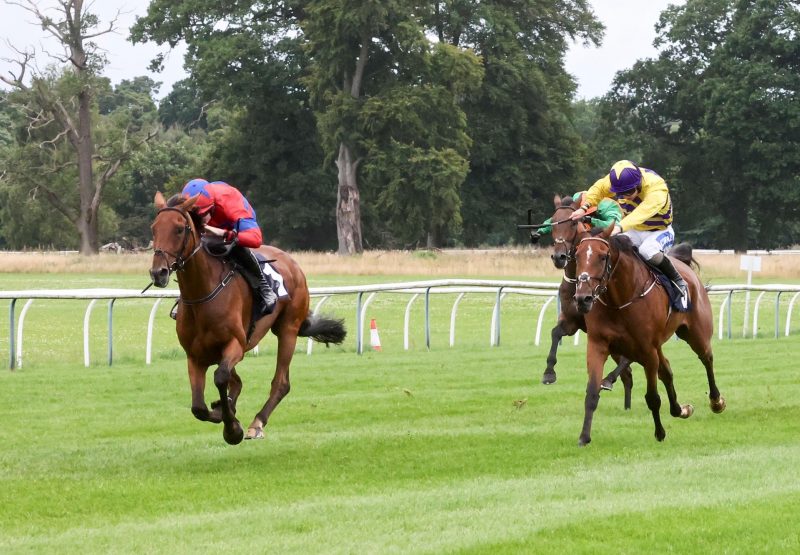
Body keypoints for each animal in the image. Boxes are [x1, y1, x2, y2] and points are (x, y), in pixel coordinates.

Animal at [150, 193, 346, 446]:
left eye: (179, 229)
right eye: (154, 228)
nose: (158, 272)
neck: (203, 295)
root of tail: (291, 262)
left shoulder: (235, 345)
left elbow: (220, 378)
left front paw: (232, 428)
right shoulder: (195, 356)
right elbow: (199, 407)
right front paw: (222, 411)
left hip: (288, 330)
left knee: (281, 382)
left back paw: (257, 423)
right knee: (237, 382)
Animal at [540, 195, 636, 408]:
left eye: (573, 223)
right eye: (553, 221)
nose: (559, 257)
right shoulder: (571, 320)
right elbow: (555, 333)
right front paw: (549, 373)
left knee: (627, 362)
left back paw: (608, 380)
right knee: (628, 375)